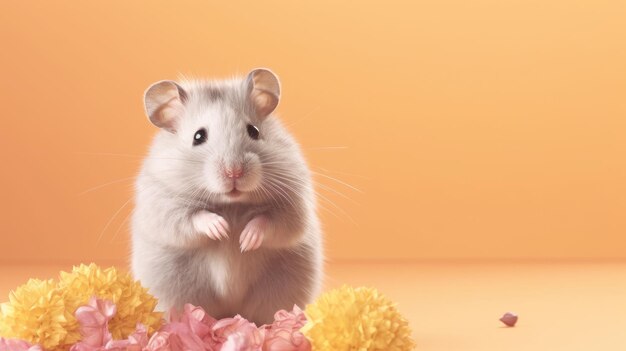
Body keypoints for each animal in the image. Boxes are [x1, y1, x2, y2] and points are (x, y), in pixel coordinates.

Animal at [128, 68, 322, 324]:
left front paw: (245, 240)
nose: (234, 172)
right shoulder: (161, 202)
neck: (231, 204)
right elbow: (193, 217)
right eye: (198, 136)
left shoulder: (293, 201)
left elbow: (272, 221)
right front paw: (221, 230)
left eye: (254, 131)